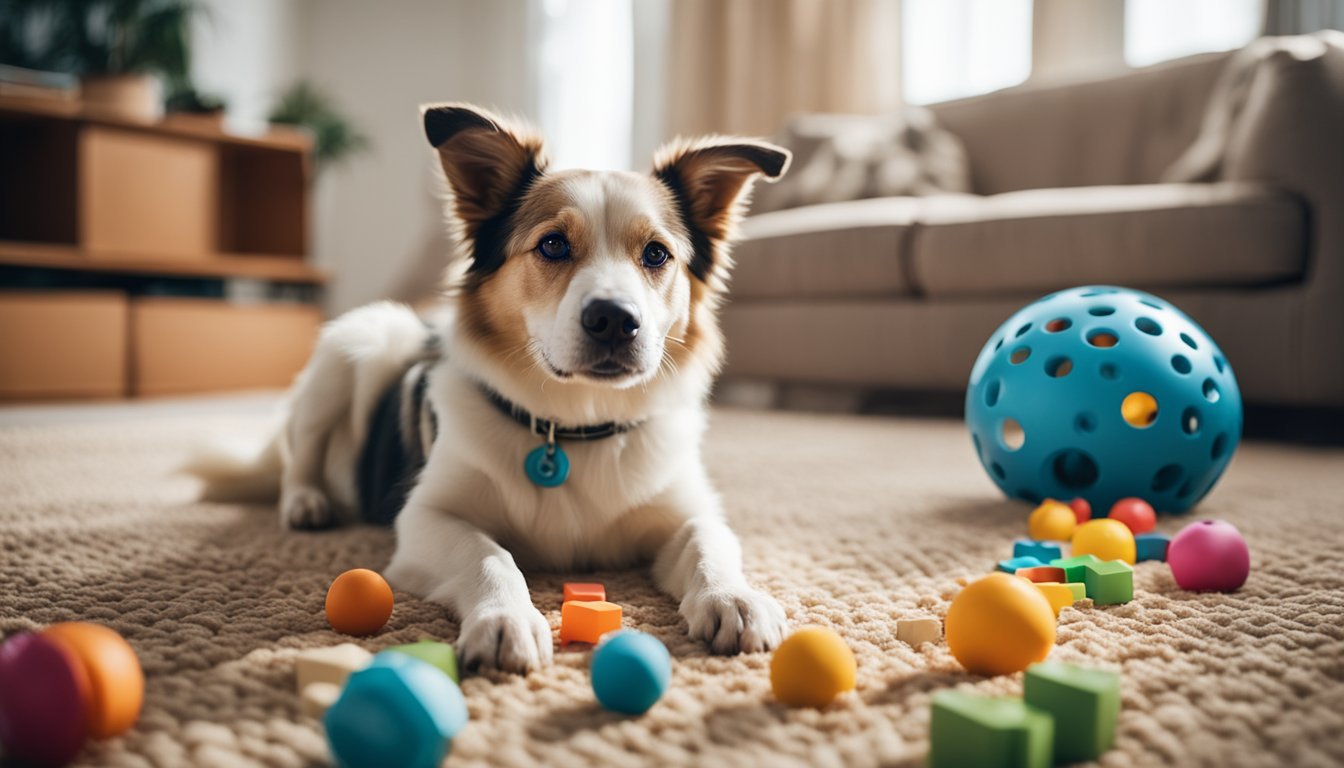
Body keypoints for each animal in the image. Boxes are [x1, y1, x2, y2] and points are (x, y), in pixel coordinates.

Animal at [194, 103, 790, 672]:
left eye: (657, 254)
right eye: (553, 245)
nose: (615, 321)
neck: (573, 428)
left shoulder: (686, 511)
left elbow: (710, 542)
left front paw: (734, 597)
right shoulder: (426, 518)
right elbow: (487, 555)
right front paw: (505, 619)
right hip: (356, 346)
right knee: (299, 457)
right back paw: (306, 503)